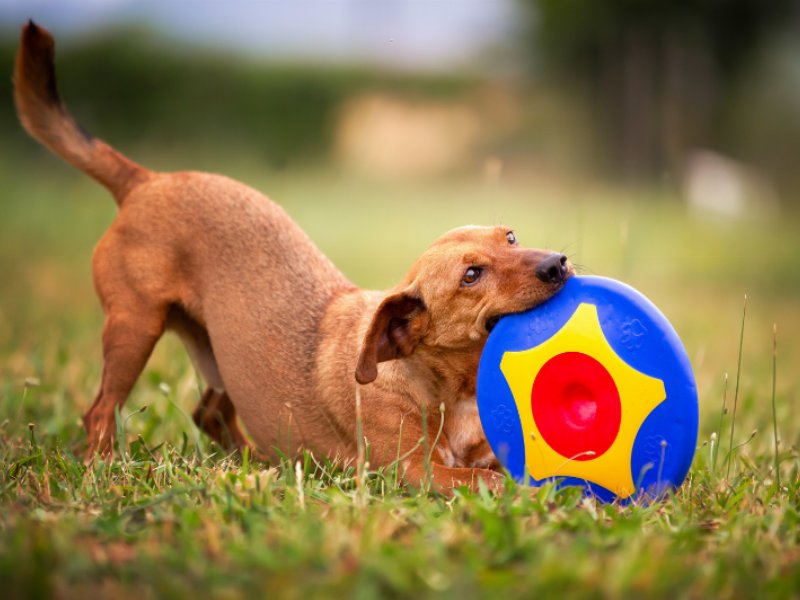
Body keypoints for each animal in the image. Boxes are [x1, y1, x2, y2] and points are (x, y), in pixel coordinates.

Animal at [15, 22, 572, 492]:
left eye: (511, 237)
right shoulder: (416, 472)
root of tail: (146, 180)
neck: (440, 384)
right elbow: (496, 482)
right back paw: (106, 468)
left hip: (223, 355)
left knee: (209, 413)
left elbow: (502, 468)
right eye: (471, 276)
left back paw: (258, 465)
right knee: (100, 413)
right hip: (135, 328)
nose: (558, 264)